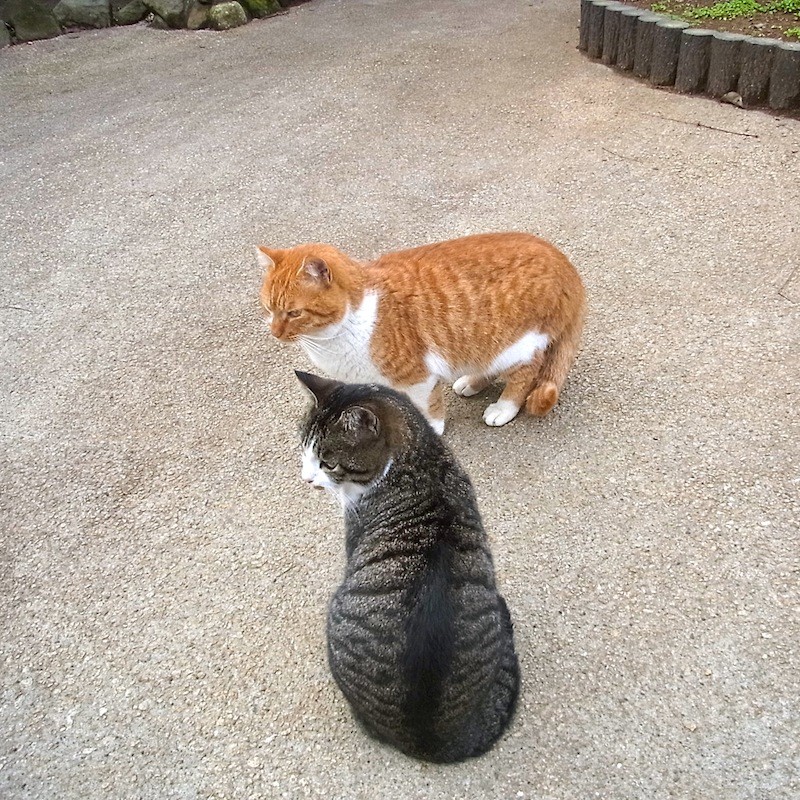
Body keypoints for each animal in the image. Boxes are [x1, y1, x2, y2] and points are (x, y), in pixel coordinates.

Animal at [260, 233, 584, 432]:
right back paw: (471, 382)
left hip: (515, 344)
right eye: (268, 308)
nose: (274, 333)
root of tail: (562, 260)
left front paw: (432, 427)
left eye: (294, 313)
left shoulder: (418, 377)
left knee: (526, 373)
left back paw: (504, 407)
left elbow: (429, 406)